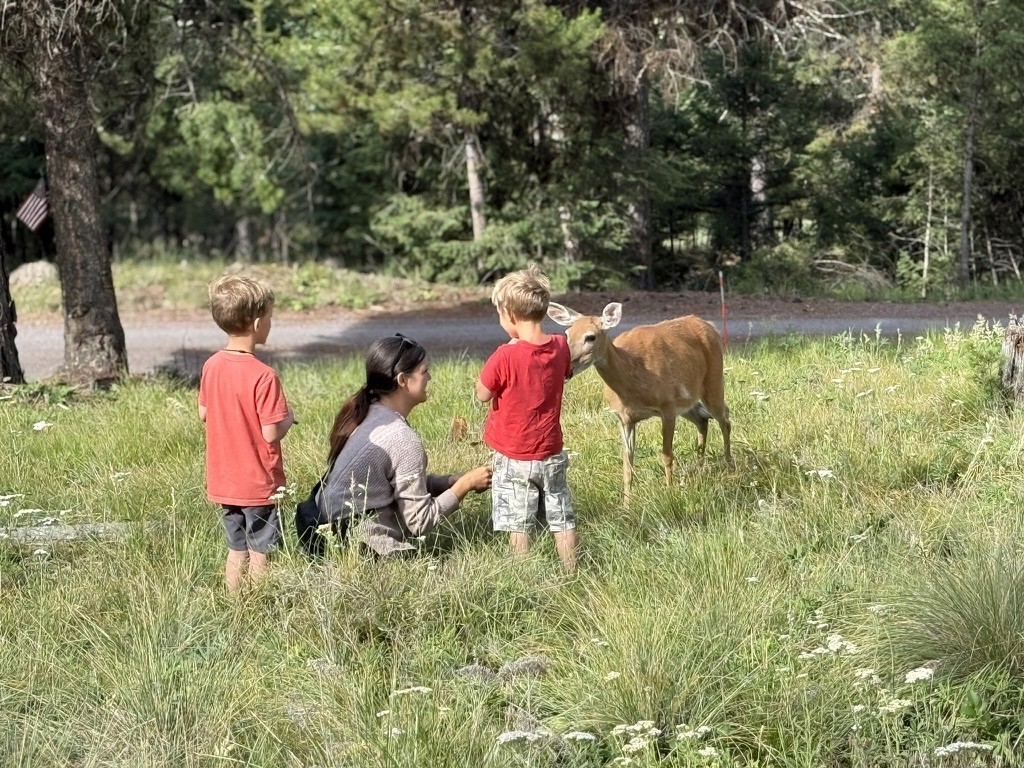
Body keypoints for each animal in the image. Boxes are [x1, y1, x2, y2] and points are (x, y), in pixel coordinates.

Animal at [547, 301, 733, 502]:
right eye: (567, 334)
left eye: (591, 337)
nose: (567, 366)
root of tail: (709, 325)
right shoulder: (624, 418)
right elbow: (627, 464)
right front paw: (626, 504)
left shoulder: (668, 406)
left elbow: (667, 455)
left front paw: (670, 493)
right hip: (687, 401)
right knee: (702, 419)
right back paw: (700, 467)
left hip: (713, 382)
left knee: (725, 419)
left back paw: (730, 467)